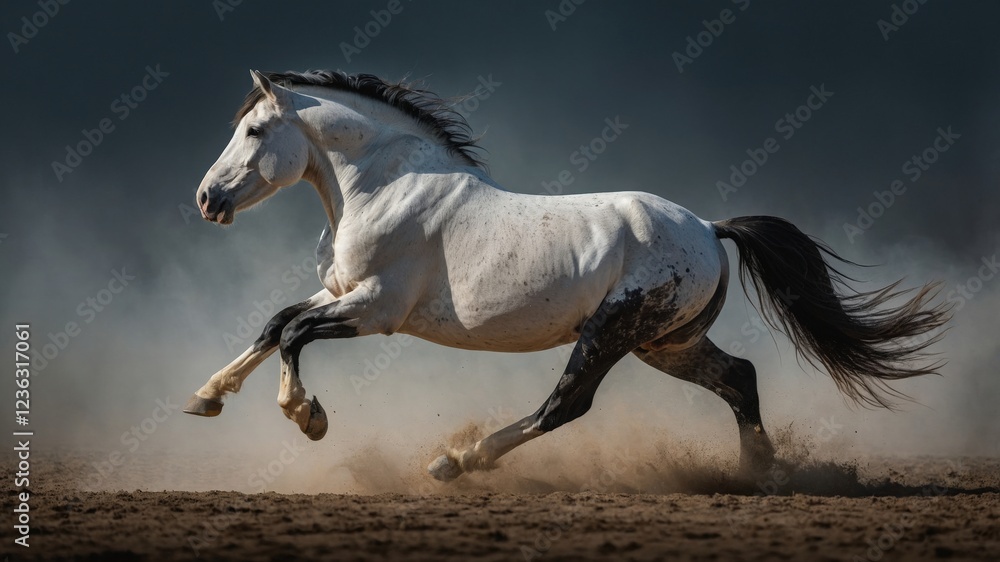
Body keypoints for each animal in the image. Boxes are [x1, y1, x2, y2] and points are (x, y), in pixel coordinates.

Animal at [185, 69, 951, 481]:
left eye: (254, 132)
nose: (206, 199)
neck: (384, 186)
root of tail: (709, 229)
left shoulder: (375, 311)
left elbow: (295, 336)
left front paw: (307, 417)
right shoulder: (341, 292)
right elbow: (275, 324)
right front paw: (206, 398)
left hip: (613, 332)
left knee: (566, 406)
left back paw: (456, 462)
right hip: (666, 343)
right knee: (740, 378)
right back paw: (755, 476)